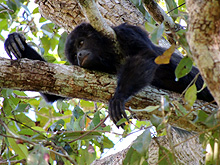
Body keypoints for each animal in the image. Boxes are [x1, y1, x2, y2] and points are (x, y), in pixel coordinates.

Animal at [3, 22, 213, 126]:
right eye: (73, 55)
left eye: (81, 42)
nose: (79, 55)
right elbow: (51, 90)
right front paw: (14, 41)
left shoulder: (124, 31)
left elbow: (144, 55)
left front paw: (118, 97)